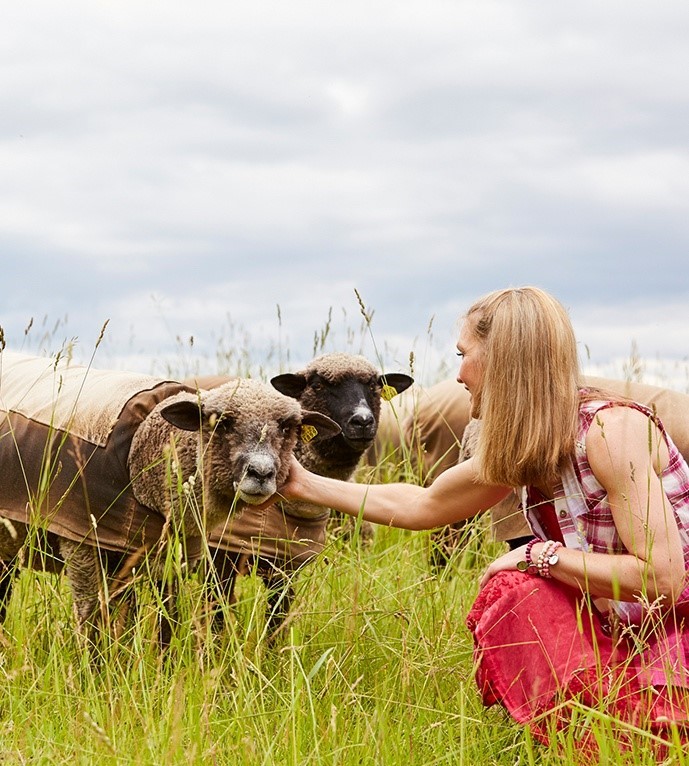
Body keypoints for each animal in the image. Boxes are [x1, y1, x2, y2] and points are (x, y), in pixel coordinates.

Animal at [0, 352, 338, 640]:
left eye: (288, 427)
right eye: (221, 422)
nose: (261, 472)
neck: (141, 453)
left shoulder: (170, 556)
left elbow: (166, 623)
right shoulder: (81, 544)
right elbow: (93, 622)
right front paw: (94, 672)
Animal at [187, 356, 414, 640]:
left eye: (374, 386)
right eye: (317, 385)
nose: (362, 420)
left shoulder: (285, 571)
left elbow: (276, 624)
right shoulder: (217, 562)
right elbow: (217, 618)